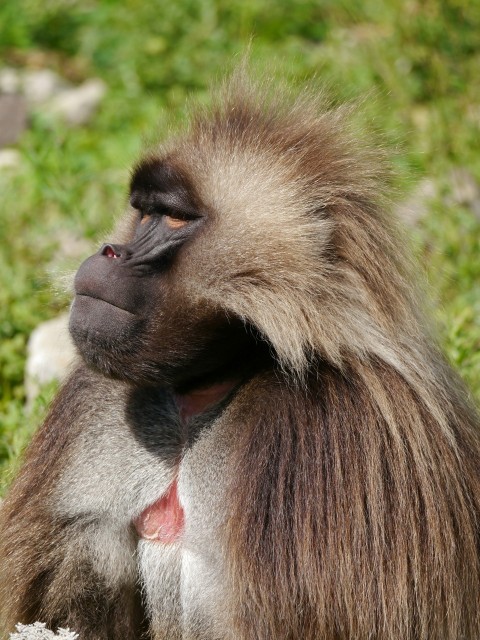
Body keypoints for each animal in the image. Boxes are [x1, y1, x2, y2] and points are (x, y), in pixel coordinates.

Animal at [0, 76, 480, 640]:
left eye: (175, 218)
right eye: (144, 211)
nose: (108, 253)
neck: (207, 390)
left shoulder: (333, 435)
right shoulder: (98, 405)